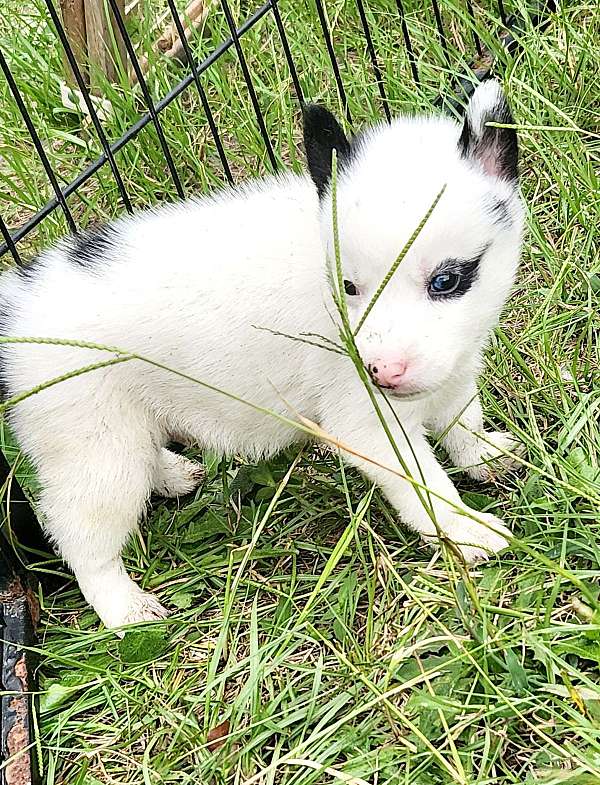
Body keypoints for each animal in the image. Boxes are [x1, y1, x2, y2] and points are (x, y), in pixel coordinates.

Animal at [0, 79, 524, 628]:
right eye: (348, 288)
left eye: (446, 281)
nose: (380, 371)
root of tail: (16, 300)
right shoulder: (369, 424)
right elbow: (425, 483)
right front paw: (465, 531)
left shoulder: (455, 365)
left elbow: (461, 417)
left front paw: (482, 454)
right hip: (96, 448)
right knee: (83, 540)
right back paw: (124, 609)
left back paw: (170, 475)